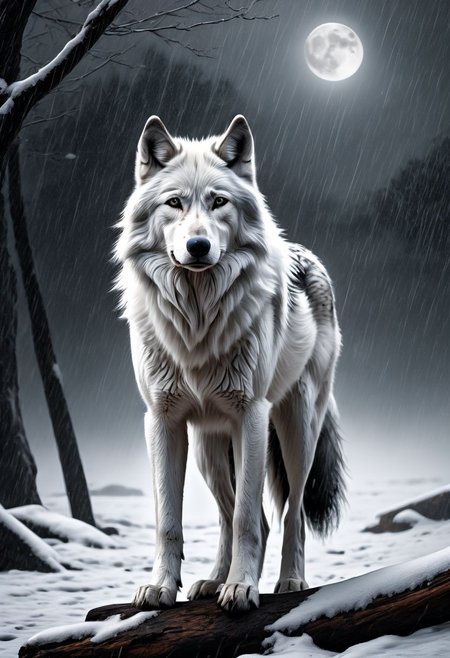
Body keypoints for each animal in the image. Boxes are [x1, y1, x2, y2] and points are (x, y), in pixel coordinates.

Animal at [115, 115, 345, 612]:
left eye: (218, 201)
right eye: (175, 203)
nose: (198, 246)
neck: (198, 321)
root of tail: (309, 255)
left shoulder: (251, 416)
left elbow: (245, 520)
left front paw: (242, 588)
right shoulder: (162, 421)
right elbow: (169, 519)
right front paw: (161, 588)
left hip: (296, 428)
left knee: (287, 511)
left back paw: (288, 581)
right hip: (208, 447)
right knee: (240, 513)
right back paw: (212, 581)